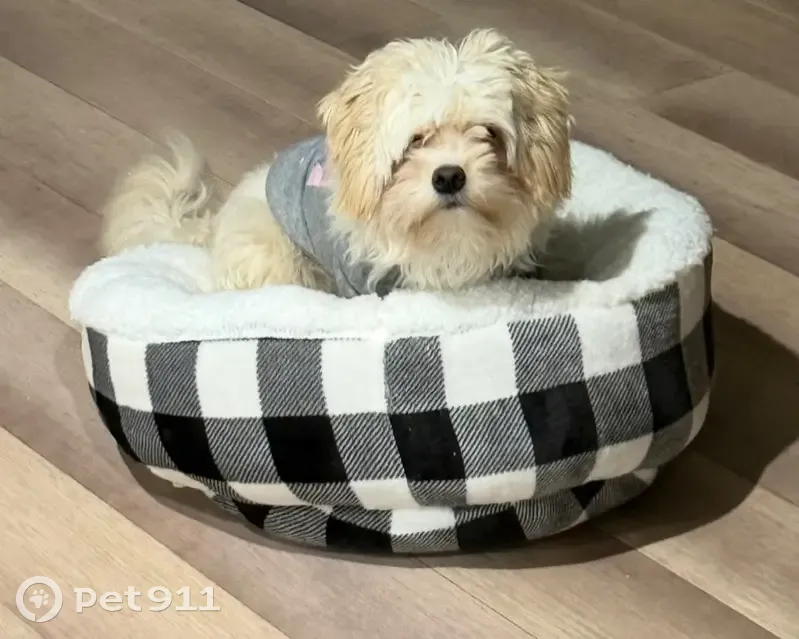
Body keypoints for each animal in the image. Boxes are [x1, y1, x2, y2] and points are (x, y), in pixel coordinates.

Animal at [100, 28, 573, 298]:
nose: (449, 176)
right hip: (277, 260)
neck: (446, 243)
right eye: (415, 141)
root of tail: (214, 229)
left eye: (488, 134)